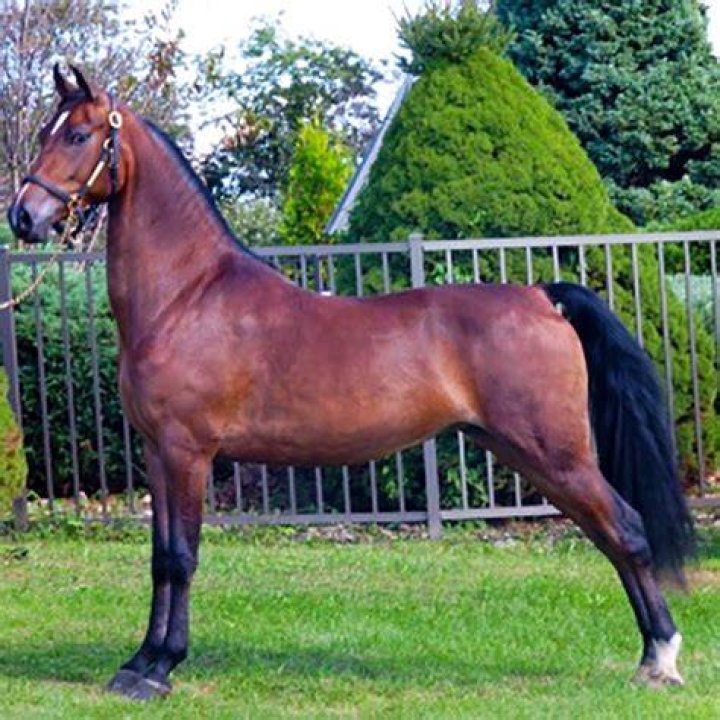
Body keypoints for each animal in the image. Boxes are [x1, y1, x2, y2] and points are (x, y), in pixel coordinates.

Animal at [7, 66, 694, 700]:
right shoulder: (156, 451)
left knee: (627, 530)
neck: (187, 296)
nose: (22, 216)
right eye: (43, 132)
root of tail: (540, 296)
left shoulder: (187, 451)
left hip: (557, 454)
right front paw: (140, 662)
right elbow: (159, 558)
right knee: (607, 535)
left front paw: (161, 668)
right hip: (529, 454)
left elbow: (182, 556)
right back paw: (649, 655)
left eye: (77, 134)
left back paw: (661, 659)